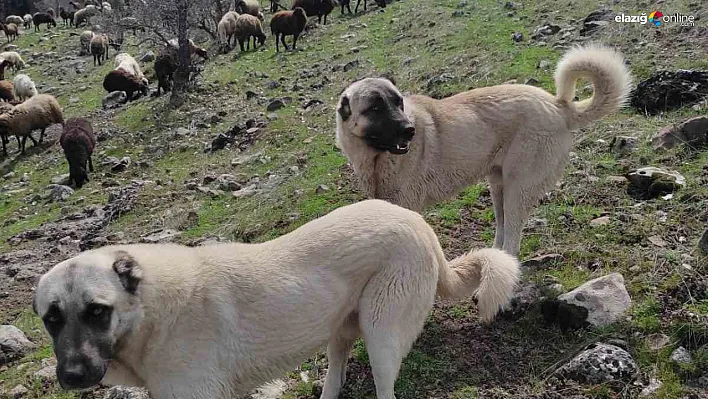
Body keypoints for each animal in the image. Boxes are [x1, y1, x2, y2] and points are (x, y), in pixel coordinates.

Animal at [34, 200, 520, 399]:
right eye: (51, 319)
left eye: (97, 311)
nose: (72, 376)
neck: (151, 314)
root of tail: (420, 224)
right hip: (340, 328)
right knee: (336, 373)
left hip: (381, 338)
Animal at [334, 44, 632, 256]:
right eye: (375, 107)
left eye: (398, 103)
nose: (410, 130)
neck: (376, 157)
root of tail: (559, 107)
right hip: (498, 187)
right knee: (502, 229)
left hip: (517, 188)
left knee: (512, 238)